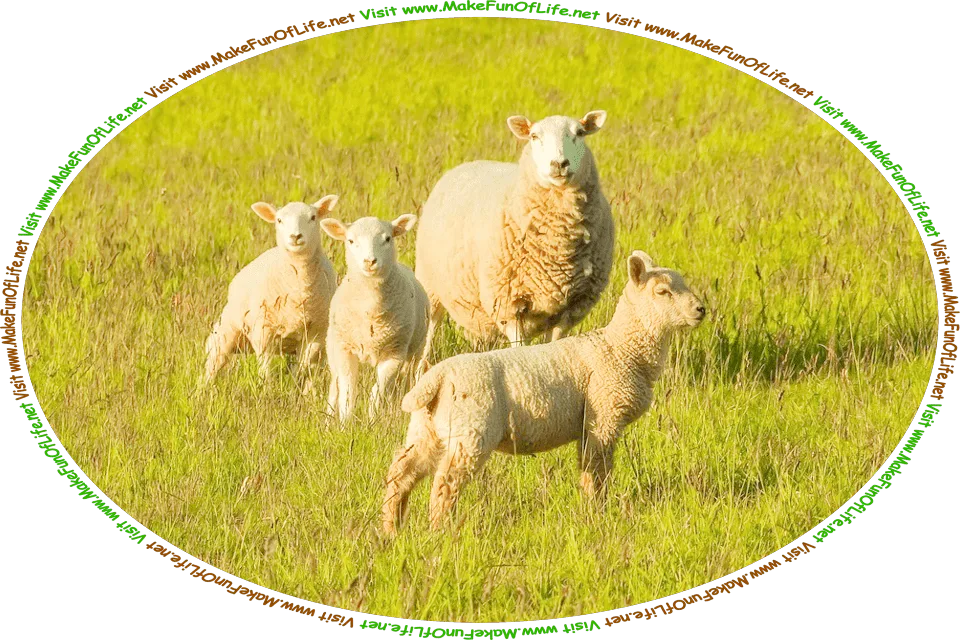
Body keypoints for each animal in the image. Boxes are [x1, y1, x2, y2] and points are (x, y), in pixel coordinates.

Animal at [203, 196, 339, 393]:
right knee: (214, 363)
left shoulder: (316, 335)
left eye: (313, 217)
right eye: (279, 220)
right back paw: (202, 391)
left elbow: (305, 367)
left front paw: (298, 388)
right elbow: (265, 367)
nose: (295, 237)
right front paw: (266, 390)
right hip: (226, 331)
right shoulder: (263, 331)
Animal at [320, 214, 430, 421]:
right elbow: (347, 392)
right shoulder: (345, 350)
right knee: (334, 387)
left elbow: (377, 392)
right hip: (332, 348)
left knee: (405, 380)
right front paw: (345, 422)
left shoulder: (394, 354)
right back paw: (329, 419)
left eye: (387, 238)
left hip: (416, 352)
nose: (369, 261)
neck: (370, 307)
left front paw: (372, 420)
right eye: (350, 240)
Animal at [382, 250, 706, 535]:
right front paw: (597, 513)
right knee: (445, 482)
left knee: (401, 473)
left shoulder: (592, 423)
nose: (701, 310)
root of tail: (436, 377)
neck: (621, 348)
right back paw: (440, 532)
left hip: (429, 429)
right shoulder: (604, 418)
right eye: (663, 292)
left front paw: (591, 510)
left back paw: (391, 530)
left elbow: (590, 469)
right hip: (471, 431)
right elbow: (598, 471)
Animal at [414, 110, 615, 364]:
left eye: (579, 133)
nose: (559, 164)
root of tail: (470, 163)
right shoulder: (510, 305)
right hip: (429, 285)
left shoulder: (569, 310)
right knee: (429, 332)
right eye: (534, 136)